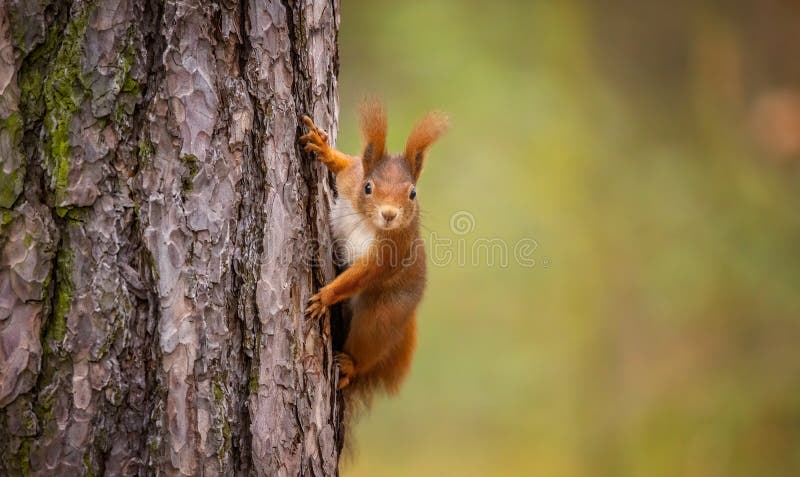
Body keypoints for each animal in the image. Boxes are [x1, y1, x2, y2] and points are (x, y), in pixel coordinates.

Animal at [302, 101, 446, 398]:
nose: (389, 214)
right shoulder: (351, 179)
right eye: (368, 187)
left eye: (412, 193)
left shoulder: (392, 251)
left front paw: (326, 296)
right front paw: (324, 149)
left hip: (383, 314)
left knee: (369, 344)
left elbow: (362, 275)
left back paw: (350, 365)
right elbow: (348, 165)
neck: (367, 221)